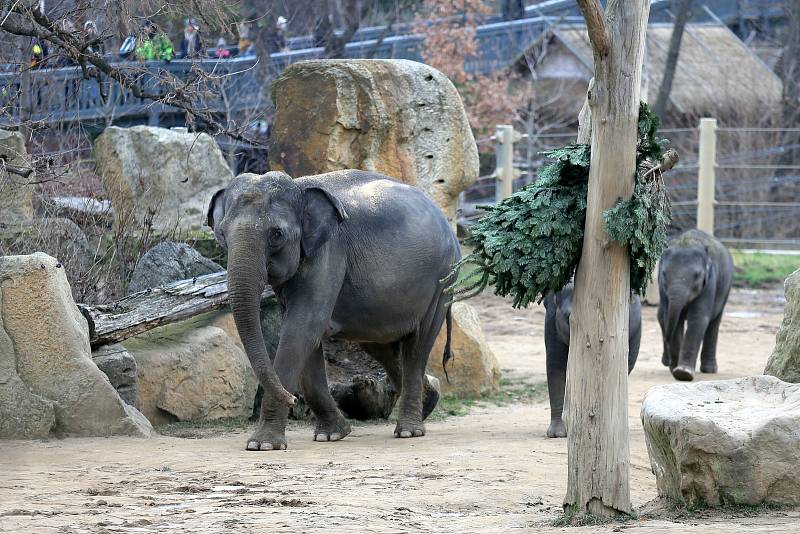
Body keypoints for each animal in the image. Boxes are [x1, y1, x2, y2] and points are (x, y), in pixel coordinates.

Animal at [206, 171, 460, 452]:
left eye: (277, 234)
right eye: (222, 234)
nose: (292, 400)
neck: (299, 187)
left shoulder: (329, 253)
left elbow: (301, 330)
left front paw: (262, 445)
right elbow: (305, 337)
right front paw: (332, 434)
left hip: (442, 280)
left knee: (418, 344)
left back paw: (409, 431)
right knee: (380, 346)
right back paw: (429, 402)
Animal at [656, 228, 732, 384]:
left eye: (697, 275)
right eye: (664, 274)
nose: (671, 363)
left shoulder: (710, 282)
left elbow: (698, 318)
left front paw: (683, 373)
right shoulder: (662, 288)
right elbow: (673, 319)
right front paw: (677, 371)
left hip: (725, 289)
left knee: (714, 323)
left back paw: (709, 370)